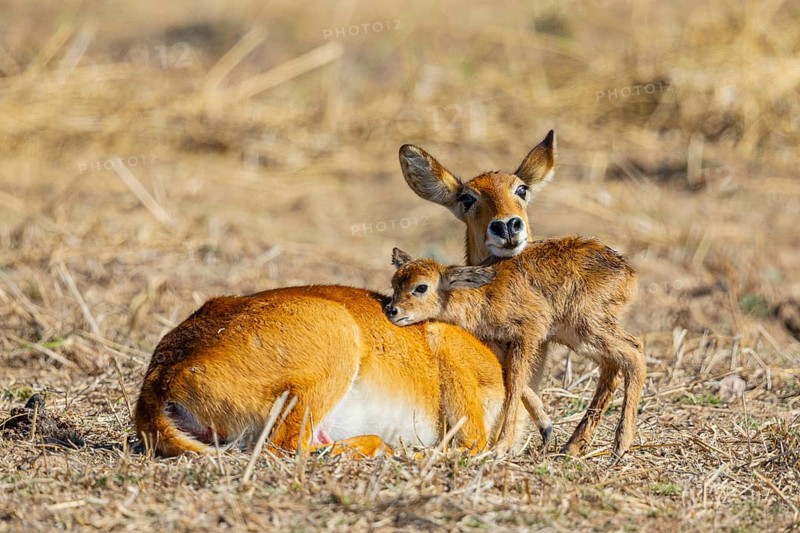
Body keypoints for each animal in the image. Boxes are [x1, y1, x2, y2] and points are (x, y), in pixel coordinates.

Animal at [385, 240, 646, 461]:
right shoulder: (500, 342)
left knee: (635, 352)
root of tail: (629, 274)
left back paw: (619, 448)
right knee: (613, 365)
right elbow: (513, 380)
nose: (392, 310)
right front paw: (545, 426)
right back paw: (571, 447)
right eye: (395, 283)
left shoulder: (528, 332)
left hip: (587, 327)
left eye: (421, 287)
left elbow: (515, 381)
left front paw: (501, 447)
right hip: (579, 336)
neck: (485, 295)